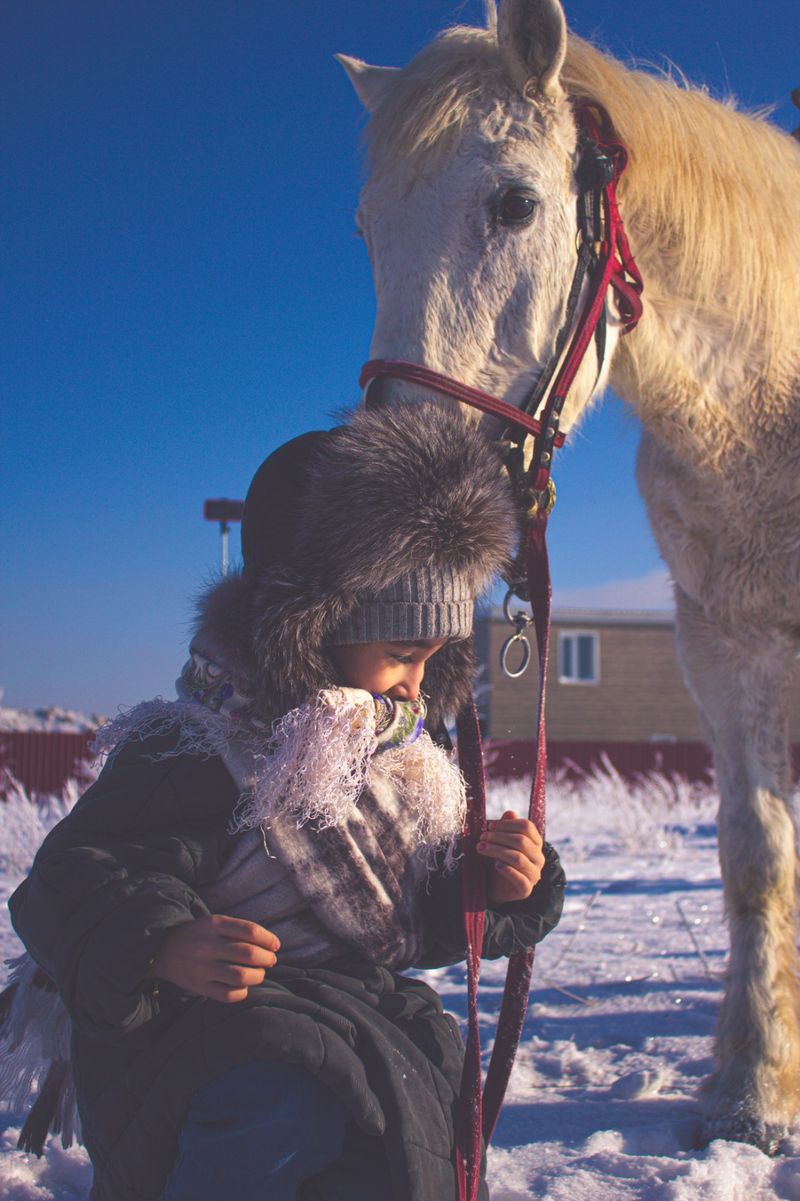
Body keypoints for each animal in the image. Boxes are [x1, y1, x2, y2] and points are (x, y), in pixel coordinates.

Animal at [337, 0, 800, 1156]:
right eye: (368, 229)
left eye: (515, 203)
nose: (392, 488)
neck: (769, 404)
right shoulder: (721, 647)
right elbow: (753, 855)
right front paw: (749, 1090)